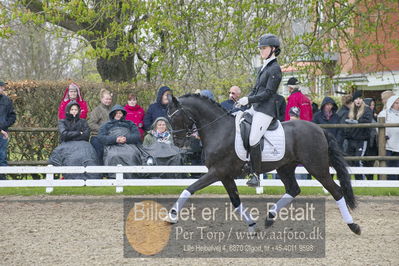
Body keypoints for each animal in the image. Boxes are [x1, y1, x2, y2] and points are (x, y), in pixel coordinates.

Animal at [166, 93, 362, 235]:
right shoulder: (225, 175)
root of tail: (319, 129)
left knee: (336, 191)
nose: (177, 142)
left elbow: (189, 189)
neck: (218, 129)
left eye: (175, 118)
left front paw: (171, 216)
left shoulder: (217, 171)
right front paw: (252, 225)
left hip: (317, 168)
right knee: (293, 189)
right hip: (285, 167)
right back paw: (269, 217)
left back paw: (353, 226)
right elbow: (235, 201)